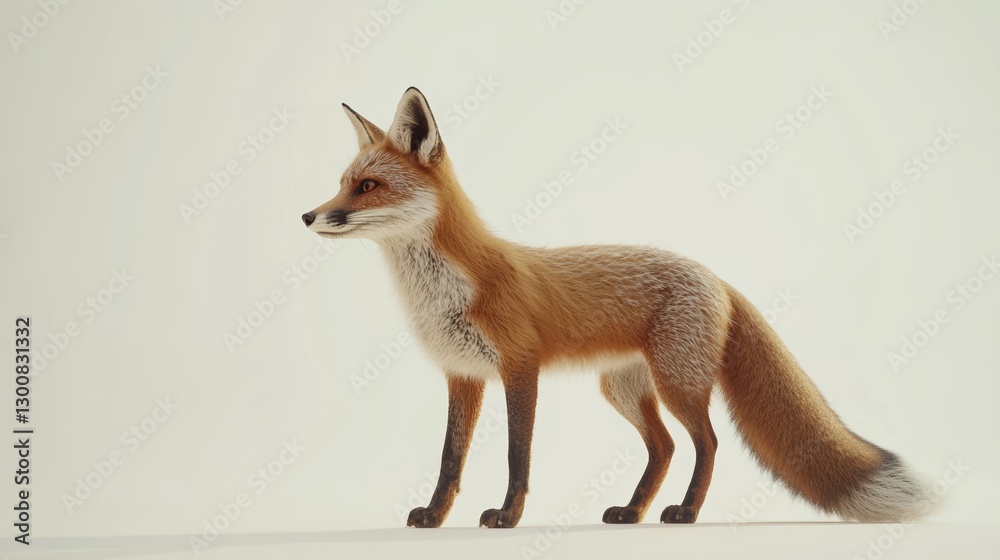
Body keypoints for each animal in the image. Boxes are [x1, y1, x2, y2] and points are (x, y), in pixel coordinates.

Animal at [302, 87, 931, 529]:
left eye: (368, 187)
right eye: (343, 182)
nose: (308, 216)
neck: (445, 291)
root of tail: (716, 275)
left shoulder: (519, 368)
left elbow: (516, 454)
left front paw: (508, 517)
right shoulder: (463, 374)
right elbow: (449, 460)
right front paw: (435, 517)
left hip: (676, 383)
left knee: (706, 443)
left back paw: (686, 513)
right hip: (623, 389)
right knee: (665, 446)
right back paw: (632, 512)